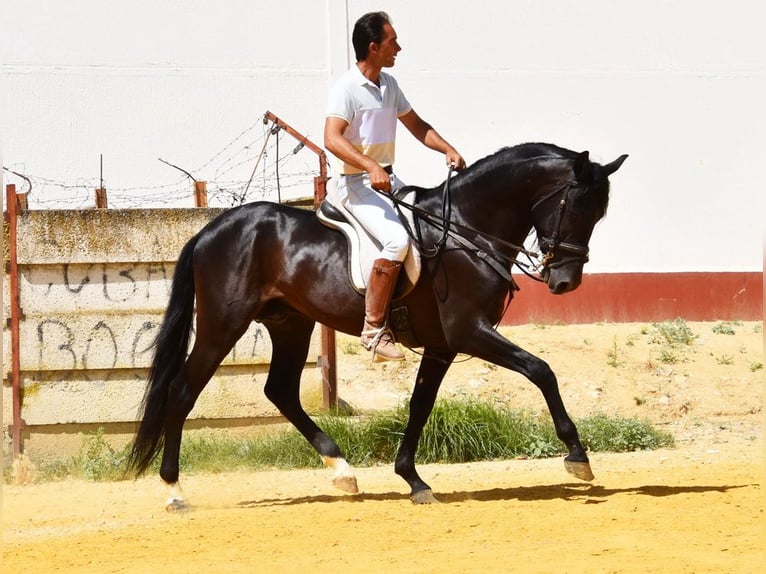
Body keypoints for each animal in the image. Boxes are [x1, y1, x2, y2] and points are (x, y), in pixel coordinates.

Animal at [127, 143, 632, 508]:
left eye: (598, 214)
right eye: (575, 207)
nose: (565, 282)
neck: (464, 229)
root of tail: (211, 229)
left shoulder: (444, 344)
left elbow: (420, 404)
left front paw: (412, 479)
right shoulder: (469, 330)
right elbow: (541, 370)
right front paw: (577, 456)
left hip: (291, 324)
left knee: (281, 391)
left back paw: (342, 471)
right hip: (223, 325)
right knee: (182, 391)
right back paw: (174, 491)